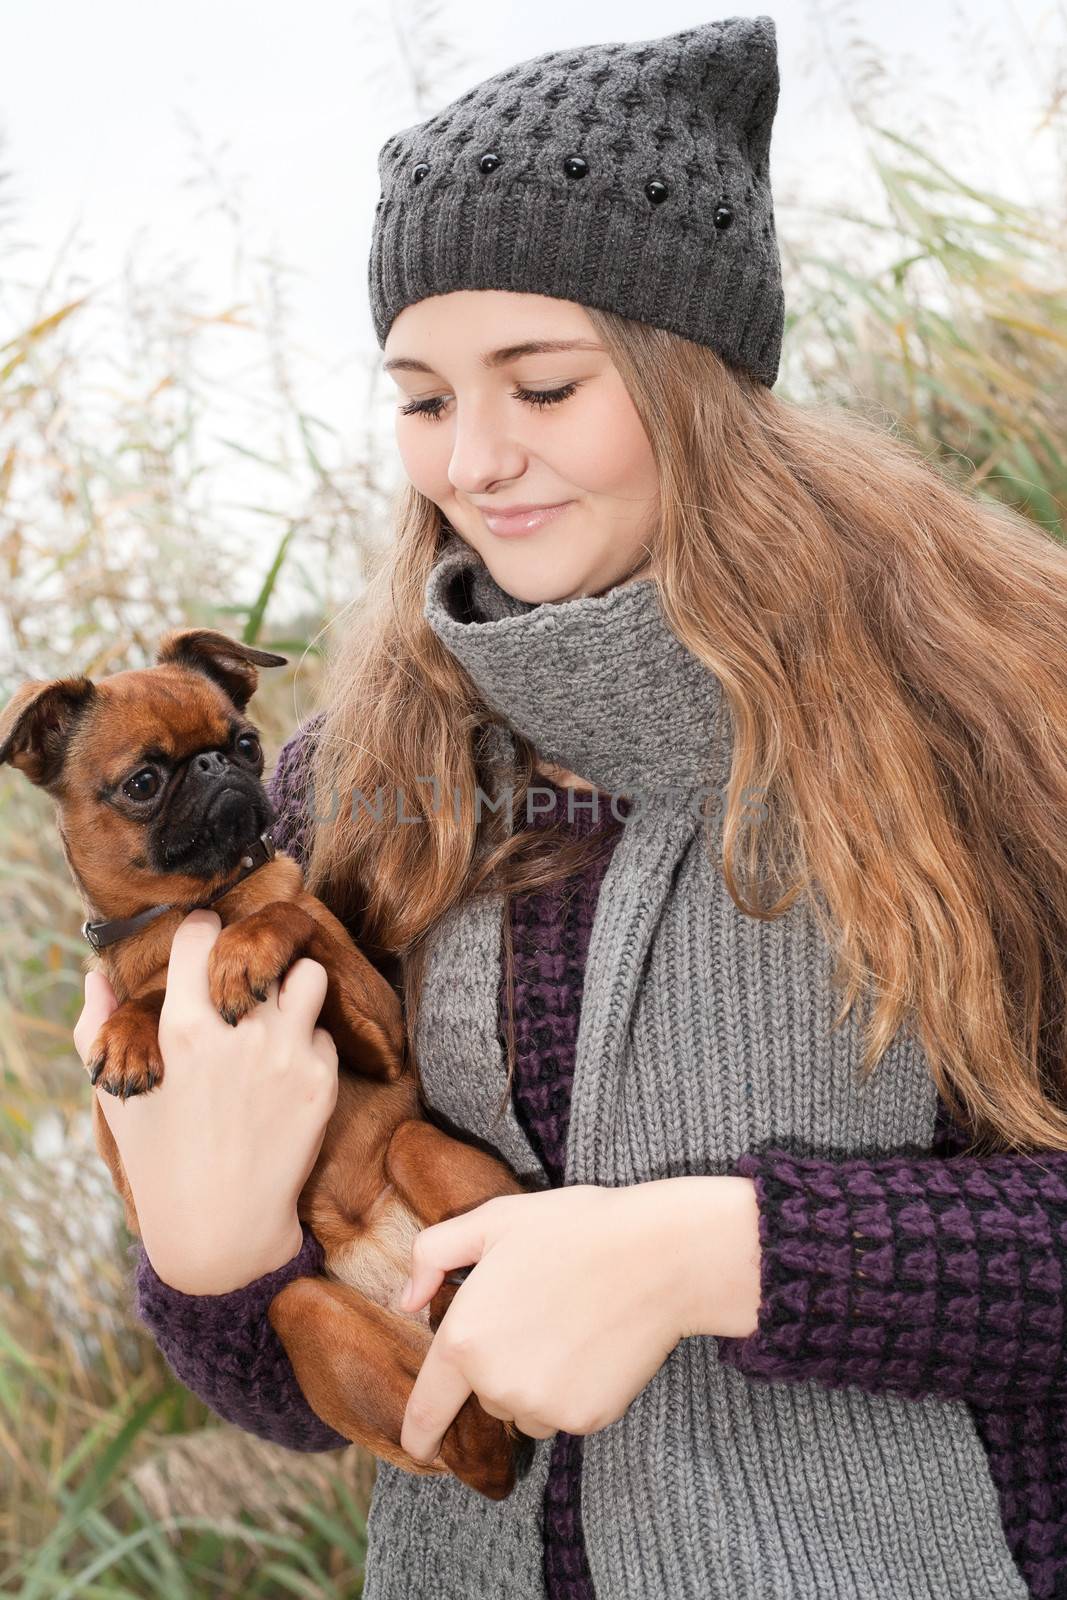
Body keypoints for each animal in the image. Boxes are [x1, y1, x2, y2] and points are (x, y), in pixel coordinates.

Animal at [0, 627, 534, 1497]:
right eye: (143, 782)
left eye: (246, 743)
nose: (219, 767)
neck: (194, 904)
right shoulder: (123, 1164)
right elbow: (146, 996)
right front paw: (135, 1028)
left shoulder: (380, 1036)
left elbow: (287, 912)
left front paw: (240, 954)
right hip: (307, 1316)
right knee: (466, 1454)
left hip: (421, 1156)